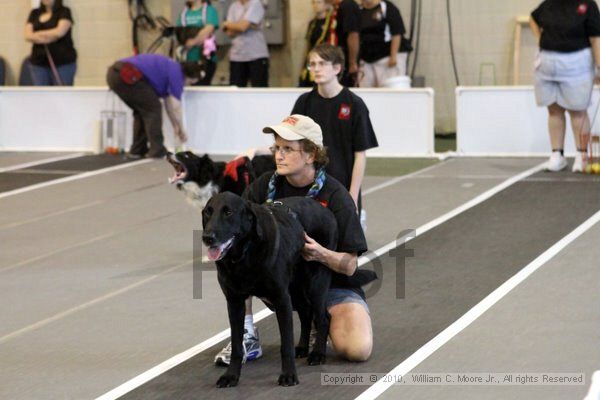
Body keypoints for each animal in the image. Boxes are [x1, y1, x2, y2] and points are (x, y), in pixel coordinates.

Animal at [203, 193, 338, 388]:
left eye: (228, 212)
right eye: (208, 212)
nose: (207, 237)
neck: (244, 255)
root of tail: (325, 209)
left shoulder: (281, 299)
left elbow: (286, 344)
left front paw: (288, 375)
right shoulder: (234, 302)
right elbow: (236, 345)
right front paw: (231, 376)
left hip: (316, 282)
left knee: (323, 318)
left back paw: (318, 354)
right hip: (295, 289)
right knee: (306, 312)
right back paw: (303, 348)